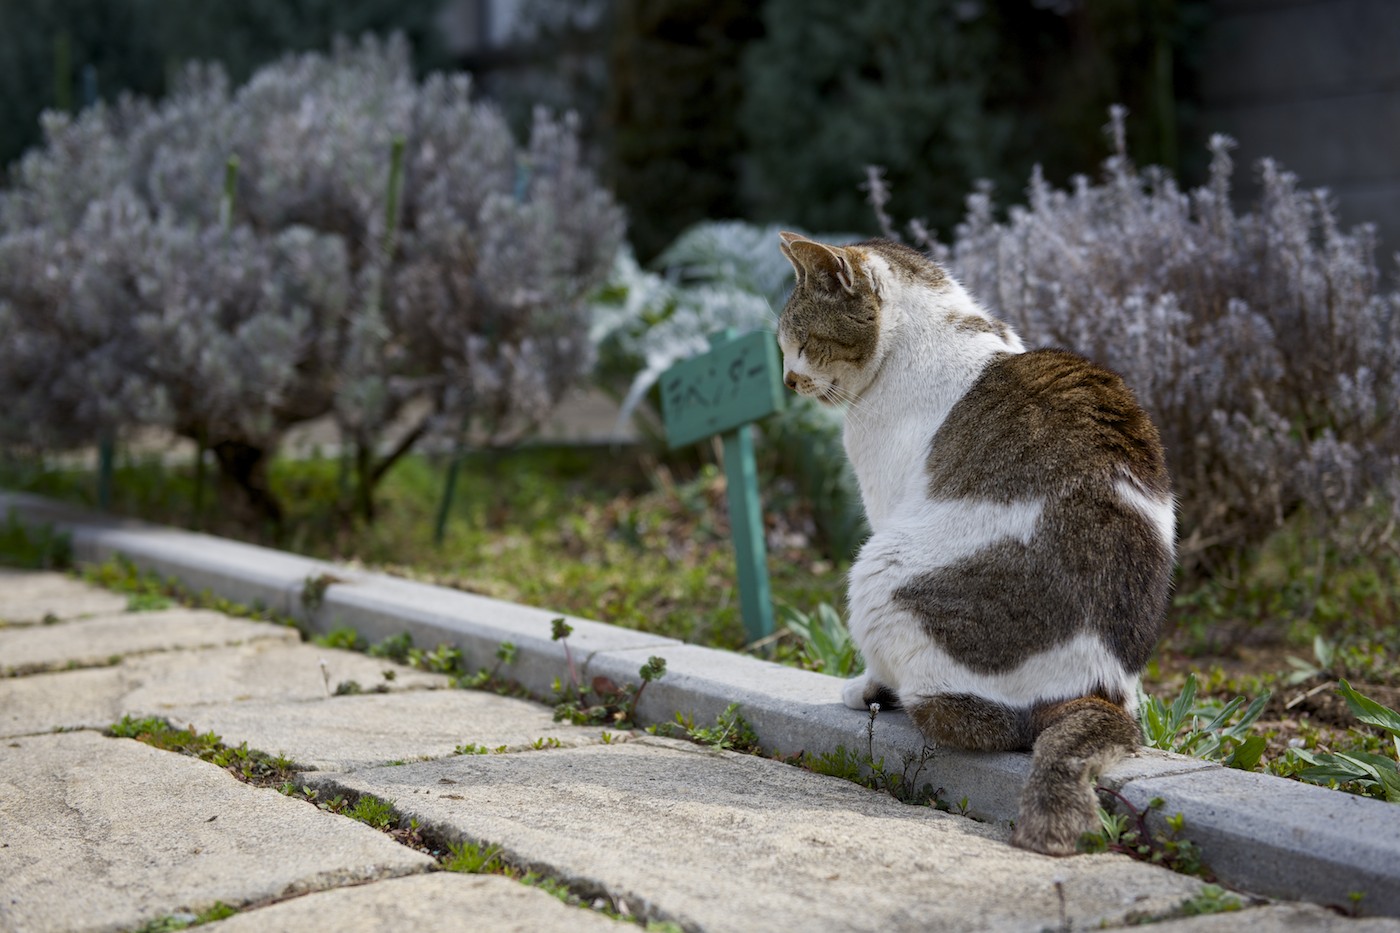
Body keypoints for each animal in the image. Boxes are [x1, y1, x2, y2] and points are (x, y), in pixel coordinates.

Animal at [778, 231, 1170, 851]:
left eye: (806, 343)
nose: (789, 381)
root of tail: (1094, 688)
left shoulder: (885, 509)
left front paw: (863, 688)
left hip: (879, 567)